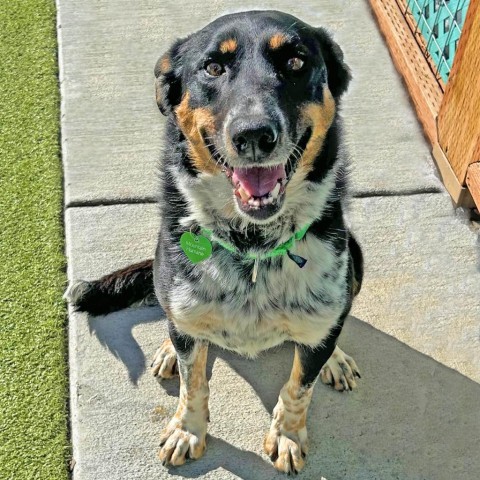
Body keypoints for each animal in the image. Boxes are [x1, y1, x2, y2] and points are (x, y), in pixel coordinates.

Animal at [66, 9, 364, 474]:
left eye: (296, 61)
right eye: (212, 67)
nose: (255, 135)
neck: (254, 245)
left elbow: (299, 386)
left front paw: (288, 435)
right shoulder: (185, 313)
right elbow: (194, 384)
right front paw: (188, 430)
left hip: (357, 258)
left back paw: (334, 357)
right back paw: (169, 349)